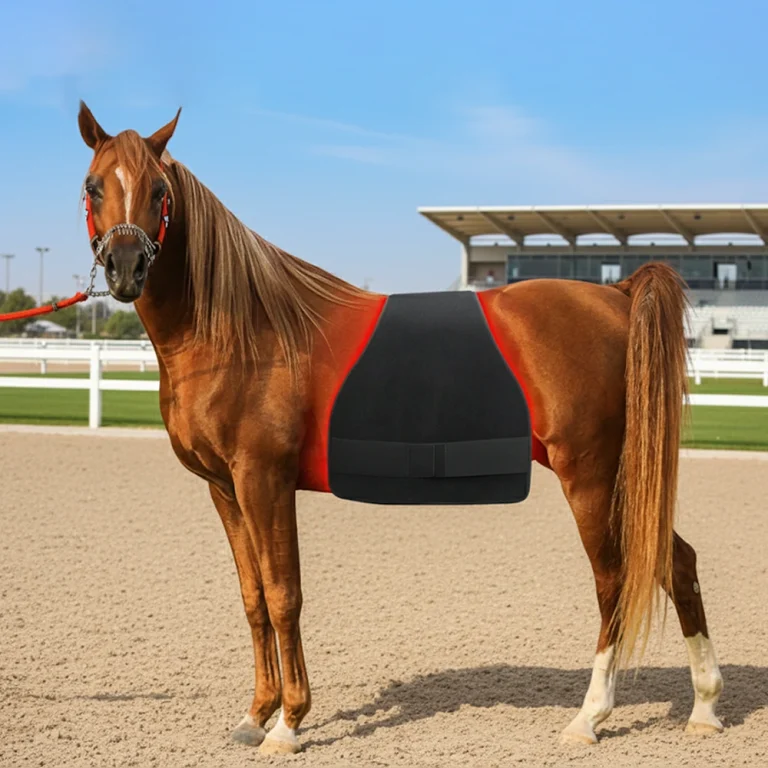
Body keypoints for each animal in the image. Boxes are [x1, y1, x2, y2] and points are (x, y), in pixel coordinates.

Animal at [74, 101, 724, 754]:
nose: (126, 267)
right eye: (93, 184)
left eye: (159, 191)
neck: (242, 332)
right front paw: (256, 714)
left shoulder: (264, 480)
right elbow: (254, 597)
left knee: (613, 578)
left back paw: (589, 716)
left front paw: (288, 723)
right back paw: (705, 706)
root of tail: (616, 293)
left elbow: (285, 595)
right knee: (676, 562)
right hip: (624, 477)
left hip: (590, 474)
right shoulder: (224, 488)